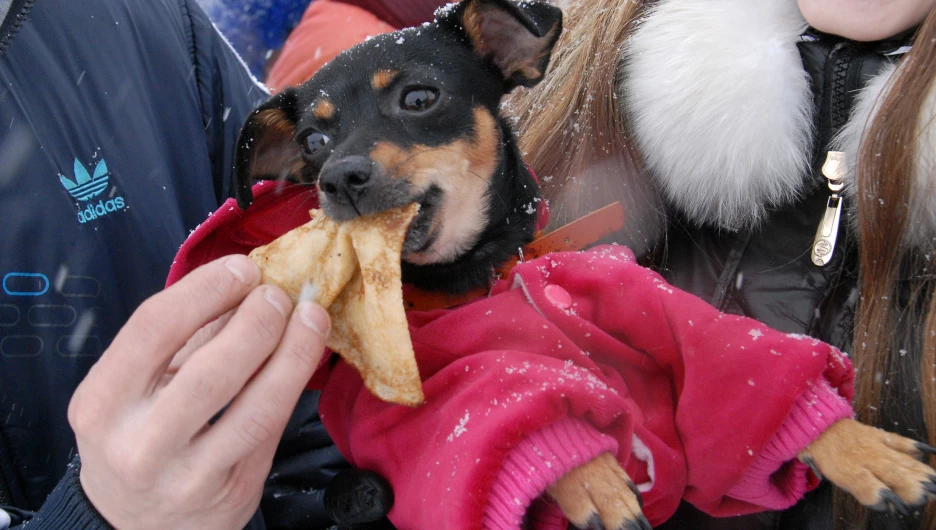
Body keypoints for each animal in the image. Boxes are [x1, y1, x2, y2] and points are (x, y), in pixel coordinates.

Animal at [229, 2, 936, 524]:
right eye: (312, 141)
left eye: (419, 98)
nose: (338, 179)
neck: (495, 274)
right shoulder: (407, 393)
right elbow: (498, 398)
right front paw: (585, 471)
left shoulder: (644, 299)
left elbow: (733, 357)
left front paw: (862, 449)